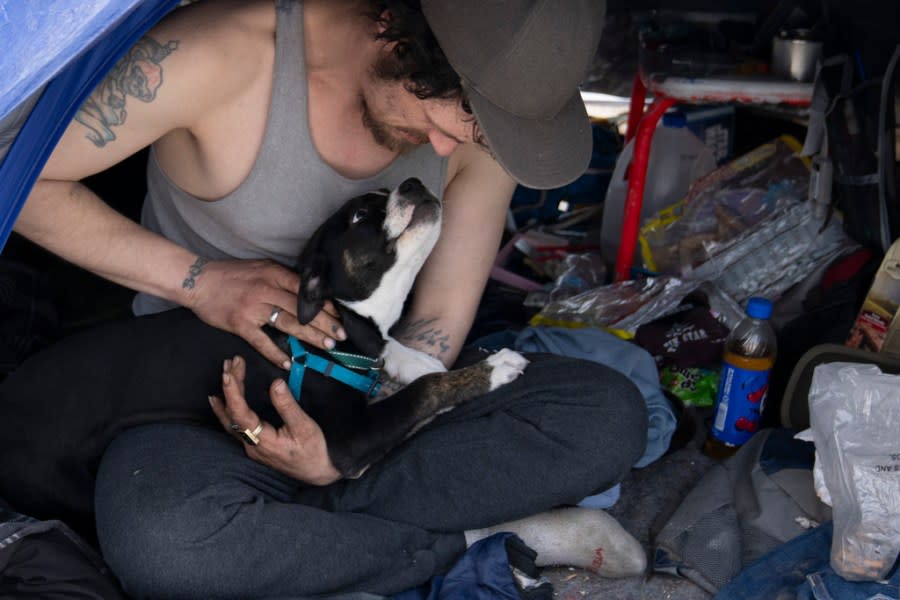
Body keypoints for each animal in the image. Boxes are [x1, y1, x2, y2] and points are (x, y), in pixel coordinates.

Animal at [0, 176, 524, 536]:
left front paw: (416, 360)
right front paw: (491, 369)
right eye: (358, 218)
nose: (413, 182)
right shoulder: (348, 441)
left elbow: (400, 355)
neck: (344, 321)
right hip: (60, 486)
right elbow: (423, 394)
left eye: (388, 190)